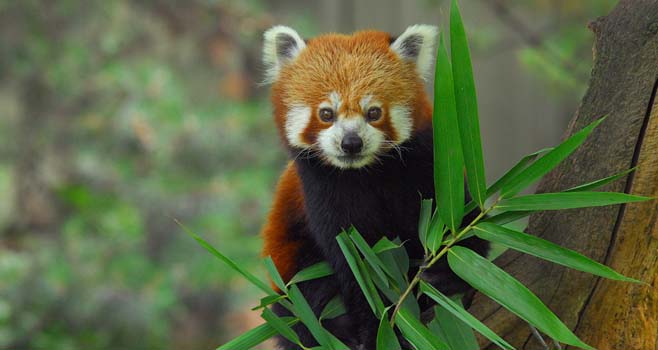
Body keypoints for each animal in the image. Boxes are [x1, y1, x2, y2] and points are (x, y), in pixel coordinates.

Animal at [258, 25, 484, 350]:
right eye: (326, 114)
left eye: (374, 112)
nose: (351, 142)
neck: (366, 172)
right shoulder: (323, 191)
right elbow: (358, 265)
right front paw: (379, 328)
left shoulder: (427, 167)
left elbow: (458, 221)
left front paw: (448, 274)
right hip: (289, 262)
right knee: (306, 298)